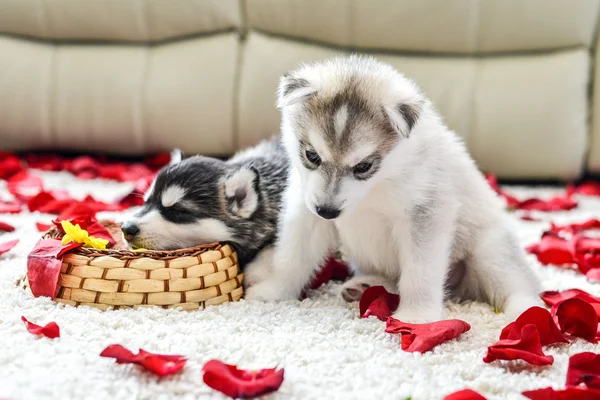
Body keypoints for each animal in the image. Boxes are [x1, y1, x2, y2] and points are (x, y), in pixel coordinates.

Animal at [243, 54, 540, 322]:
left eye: (363, 166)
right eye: (312, 156)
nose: (327, 212)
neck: (377, 185)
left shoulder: (425, 214)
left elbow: (419, 273)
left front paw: (416, 318)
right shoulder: (306, 211)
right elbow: (293, 257)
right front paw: (275, 290)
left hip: (490, 251)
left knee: (517, 284)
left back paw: (527, 311)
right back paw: (365, 285)